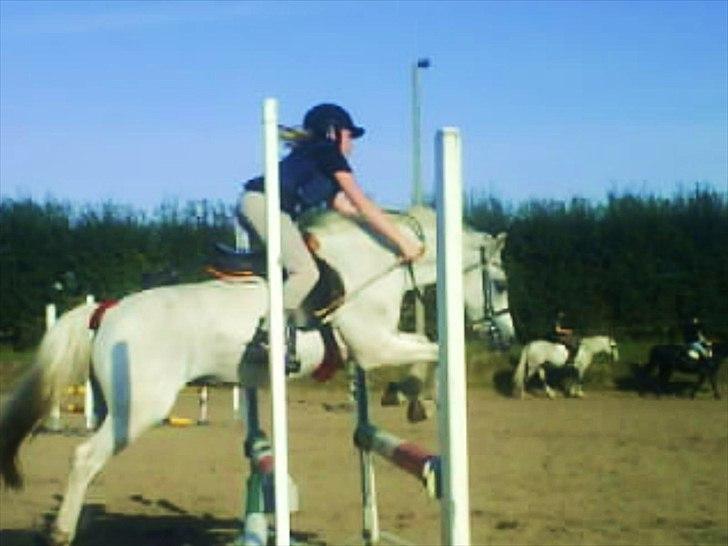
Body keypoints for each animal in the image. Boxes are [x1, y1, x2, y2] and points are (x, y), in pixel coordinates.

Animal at [0, 205, 514, 545]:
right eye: (501, 283)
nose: (507, 338)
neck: (368, 266)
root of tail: (108, 310)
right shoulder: (375, 345)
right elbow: (434, 350)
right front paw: (415, 397)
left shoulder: (370, 348)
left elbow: (428, 349)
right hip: (140, 409)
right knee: (86, 456)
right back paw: (62, 532)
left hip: (115, 404)